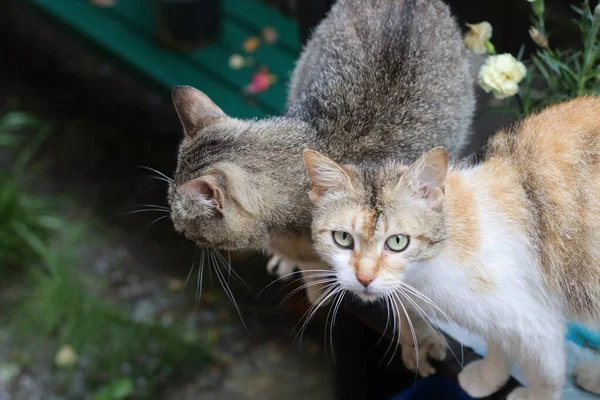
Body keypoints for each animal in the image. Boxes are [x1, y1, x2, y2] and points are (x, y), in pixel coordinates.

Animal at [304, 97, 600, 400]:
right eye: (343, 238)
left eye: (398, 242)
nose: (364, 277)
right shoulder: (504, 316)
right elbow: (499, 344)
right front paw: (488, 377)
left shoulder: (535, 322)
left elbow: (546, 371)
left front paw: (535, 396)